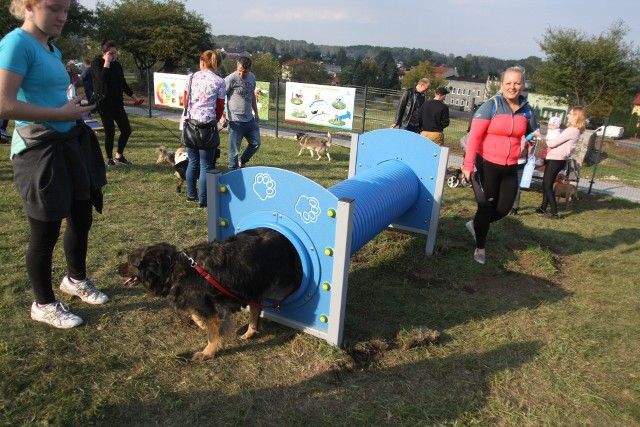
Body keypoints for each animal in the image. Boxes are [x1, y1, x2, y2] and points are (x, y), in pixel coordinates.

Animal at [118, 227, 302, 362]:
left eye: (130, 262)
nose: (116, 268)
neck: (171, 268)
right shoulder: (204, 306)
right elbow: (196, 316)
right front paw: (202, 325)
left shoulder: (210, 309)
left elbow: (212, 335)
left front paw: (207, 352)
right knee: (255, 310)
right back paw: (250, 332)